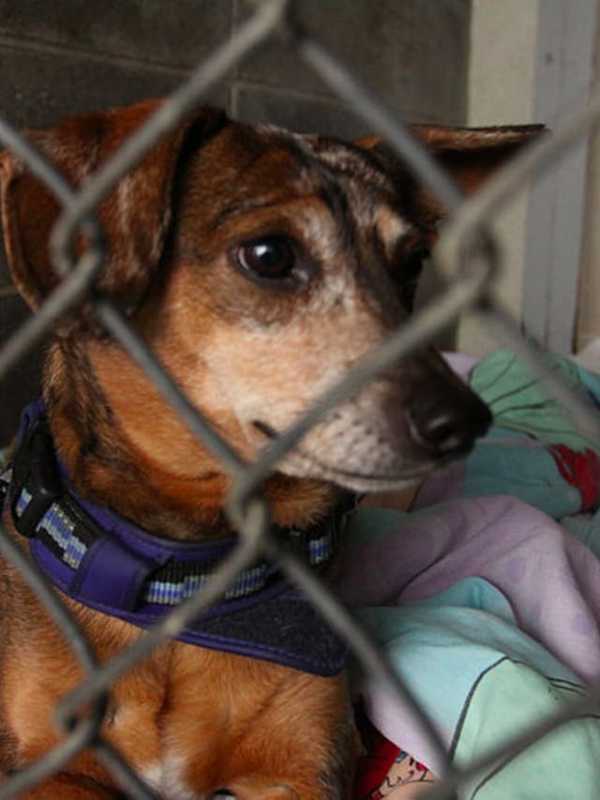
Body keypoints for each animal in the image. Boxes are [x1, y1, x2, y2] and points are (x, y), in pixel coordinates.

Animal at [0, 101, 540, 800]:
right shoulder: (51, 765)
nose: (466, 420)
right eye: (270, 254)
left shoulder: (303, 763)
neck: (187, 577)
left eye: (412, 264)